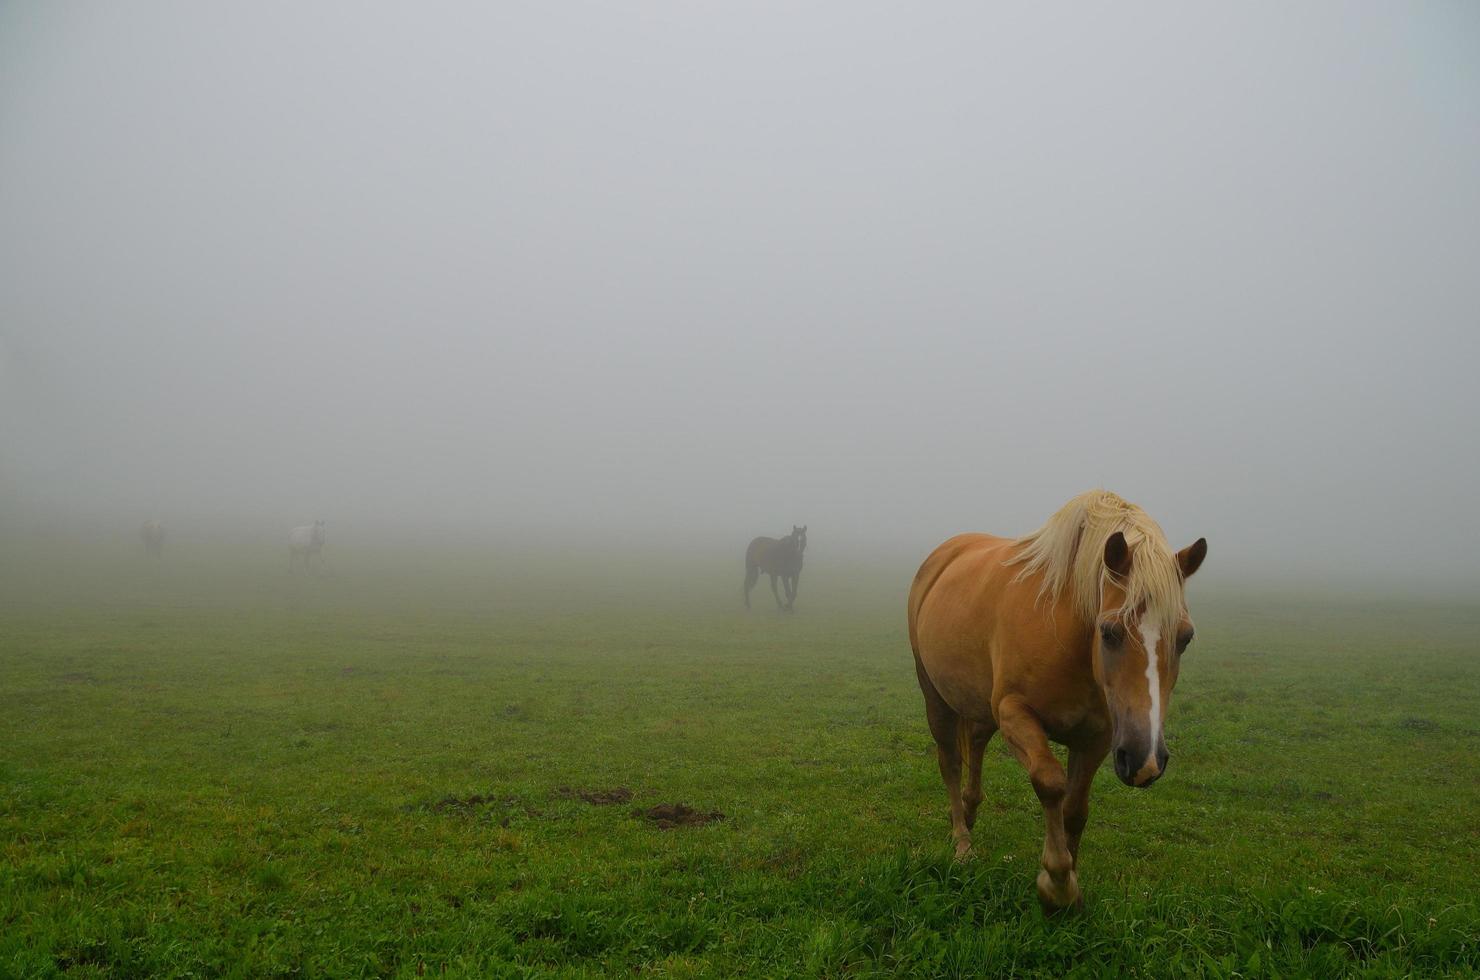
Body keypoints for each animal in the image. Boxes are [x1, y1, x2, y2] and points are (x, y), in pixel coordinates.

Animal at [905, 491, 1207, 911]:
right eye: (1108, 632)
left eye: (1186, 638)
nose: (1145, 761)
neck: (1068, 635)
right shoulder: (1015, 714)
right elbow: (1049, 783)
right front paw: (1057, 884)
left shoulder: (1098, 738)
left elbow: (1075, 809)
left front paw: (1073, 888)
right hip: (935, 694)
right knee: (949, 761)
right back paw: (962, 841)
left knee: (976, 744)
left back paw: (969, 809)